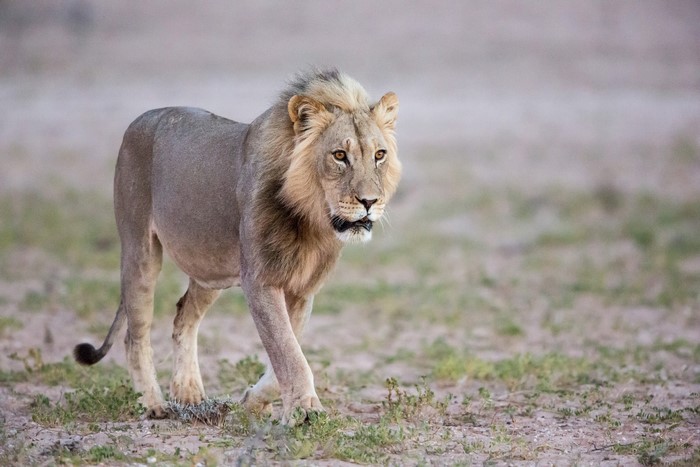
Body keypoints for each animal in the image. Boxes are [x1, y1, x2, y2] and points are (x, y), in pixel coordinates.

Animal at [73, 69, 400, 425]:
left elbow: (287, 351)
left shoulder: (302, 288)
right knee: (136, 334)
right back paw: (152, 403)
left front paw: (254, 401)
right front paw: (305, 411)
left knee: (183, 317)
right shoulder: (260, 280)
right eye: (339, 155)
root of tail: (140, 119)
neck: (312, 221)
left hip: (209, 268)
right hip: (139, 250)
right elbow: (288, 352)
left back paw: (189, 393)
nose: (369, 202)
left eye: (379, 155)